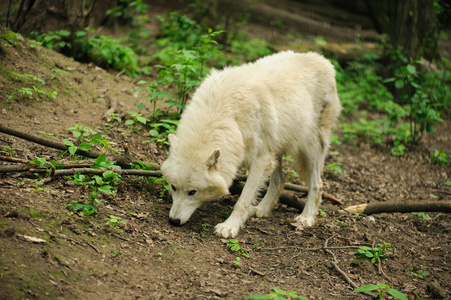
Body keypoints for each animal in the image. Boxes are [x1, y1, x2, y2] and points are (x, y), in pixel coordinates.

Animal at [162, 50, 342, 238]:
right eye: (173, 187)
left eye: (192, 192)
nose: (173, 221)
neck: (223, 113)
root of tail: (323, 60)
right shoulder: (261, 157)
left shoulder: (260, 160)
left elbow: (243, 200)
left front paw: (229, 227)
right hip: (275, 150)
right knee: (280, 181)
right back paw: (261, 210)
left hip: (310, 147)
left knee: (317, 184)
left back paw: (306, 217)